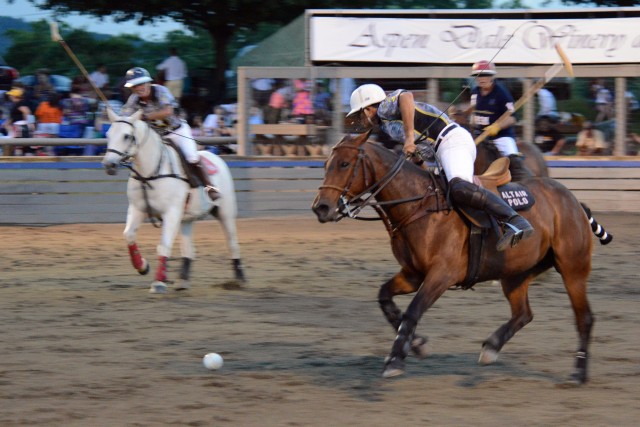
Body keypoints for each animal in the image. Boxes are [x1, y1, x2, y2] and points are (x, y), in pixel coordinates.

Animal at [101, 109, 244, 294]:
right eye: (108, 134)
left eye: (127, 136)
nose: (108, 165)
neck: (150, 173)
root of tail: (216, 157)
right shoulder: (137, 209)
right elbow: (129, 235)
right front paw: (143, 266)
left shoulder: (171, 212)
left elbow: (164, 245)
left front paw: (158, 283)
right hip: (187, 219)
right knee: (188, 248)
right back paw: (183, 281)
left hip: (225, 212)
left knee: (232, 242)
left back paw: (239, 280)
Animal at [312, 130, 612, 384]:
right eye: (327, 164)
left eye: (344, 164)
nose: (321, 208)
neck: (417, 205)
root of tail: (574, 201)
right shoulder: (412, 273)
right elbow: (386, 298)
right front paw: (416, 345)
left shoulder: (441, 275)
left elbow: (412, 311)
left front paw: (396, 359)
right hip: (516, 273)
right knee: (524, 313)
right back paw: (491, 347)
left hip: (572, 268)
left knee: (584, 318)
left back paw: (578, 372)